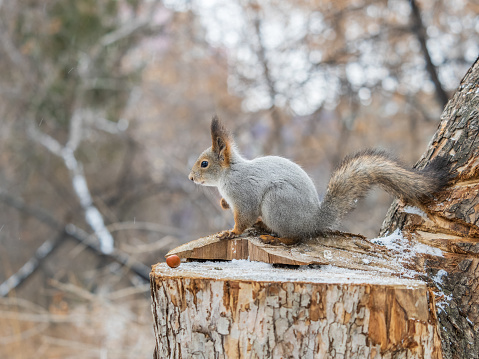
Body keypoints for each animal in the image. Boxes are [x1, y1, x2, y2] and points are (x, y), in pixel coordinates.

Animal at [188, 116, 450, 246]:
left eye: (204, 164)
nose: (190, 178)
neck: (228, 174)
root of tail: (313, 221)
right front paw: (223, 204)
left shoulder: (243, 194)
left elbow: (244, 218)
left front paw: (230, 233)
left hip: (277, 203)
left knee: (296, 237)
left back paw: (274, 237)